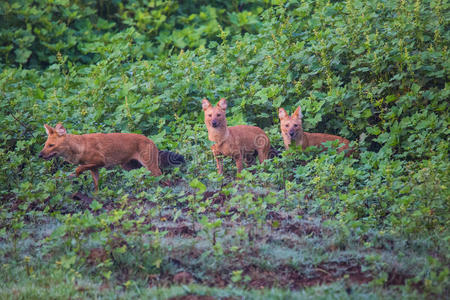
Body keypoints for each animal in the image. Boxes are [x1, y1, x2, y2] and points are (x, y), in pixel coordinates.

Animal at [39, 123, 184, 190]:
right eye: (45, 145)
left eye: (51, 145)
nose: (40, 154)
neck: (79, 147)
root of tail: (151, 141)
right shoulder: (94, 168)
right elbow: (96, 184)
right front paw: (96, 195)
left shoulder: (100, 162)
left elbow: (78, 168)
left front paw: (76, 174)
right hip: (129, 167)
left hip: (150, 166)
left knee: (162, 176)